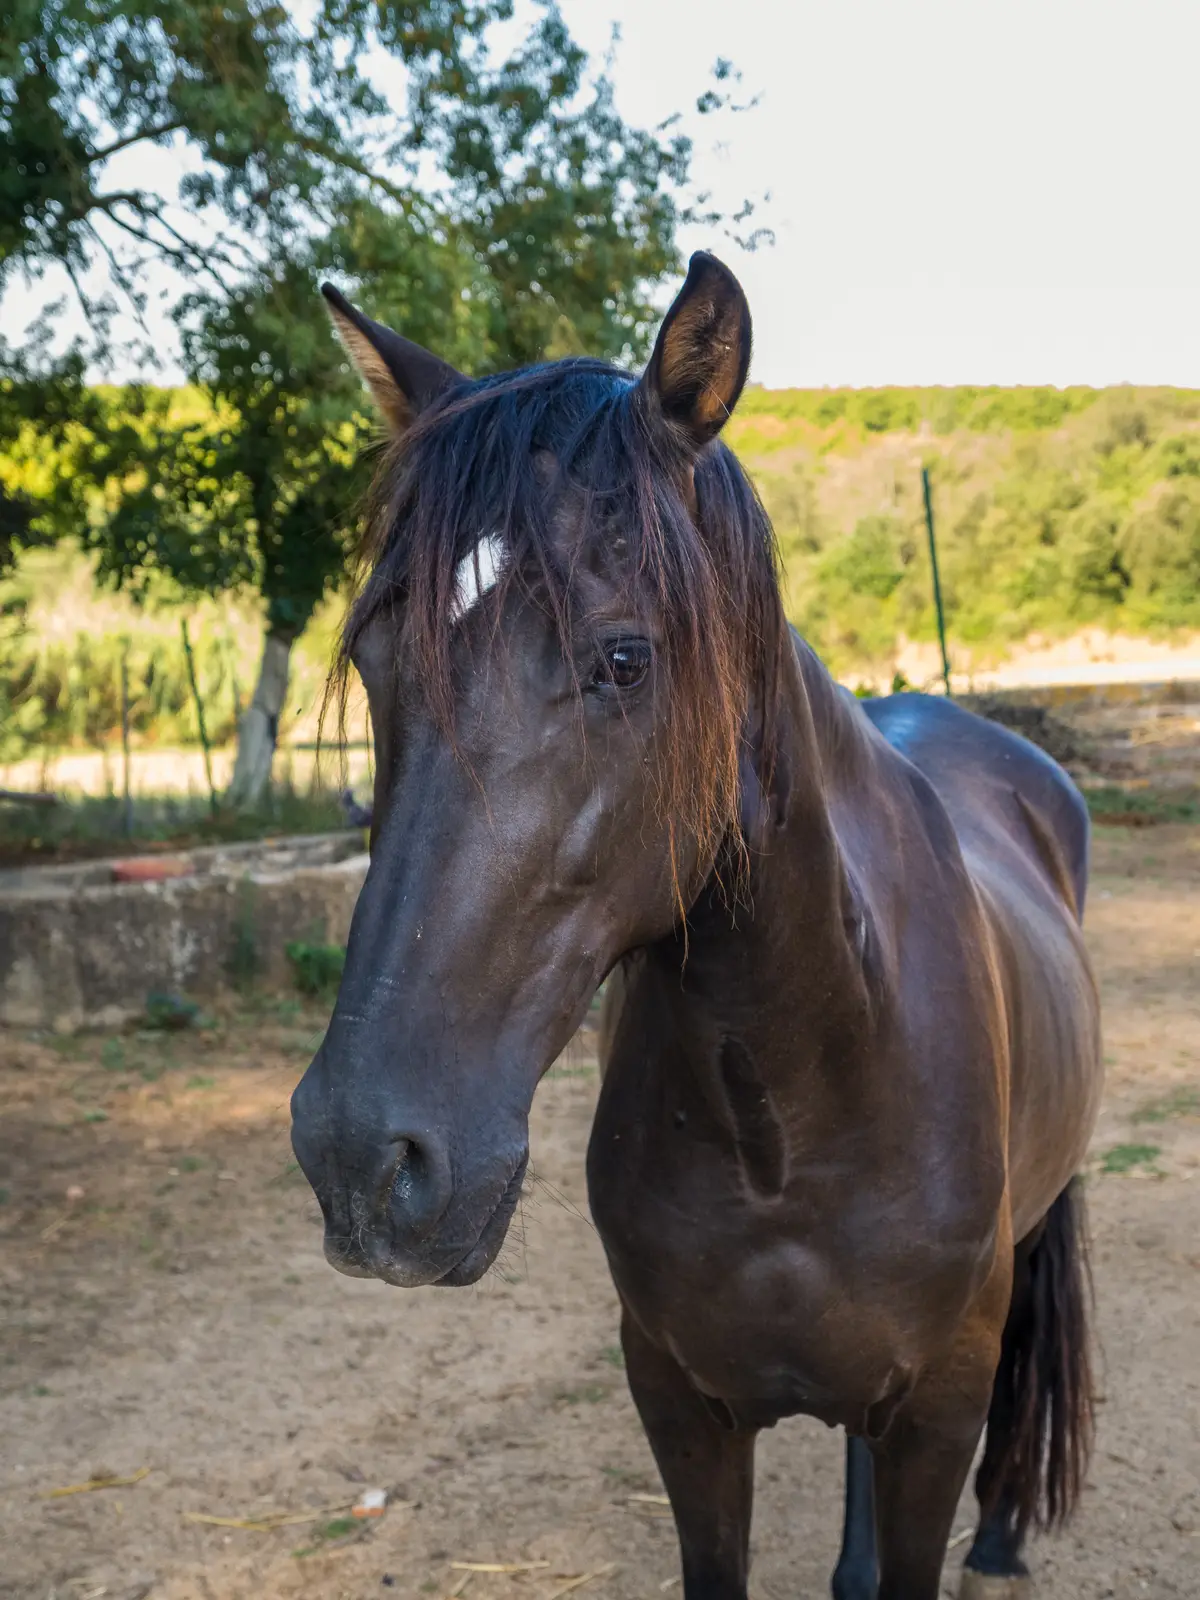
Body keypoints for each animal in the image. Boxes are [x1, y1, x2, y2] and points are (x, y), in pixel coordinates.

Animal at [291, 254, 1102, 1600]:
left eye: (624, 657)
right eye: (371, 654)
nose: (362, 1158)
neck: (799, 1098)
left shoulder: (936, 1409)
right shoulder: (681, 1405)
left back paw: (999, 1534)